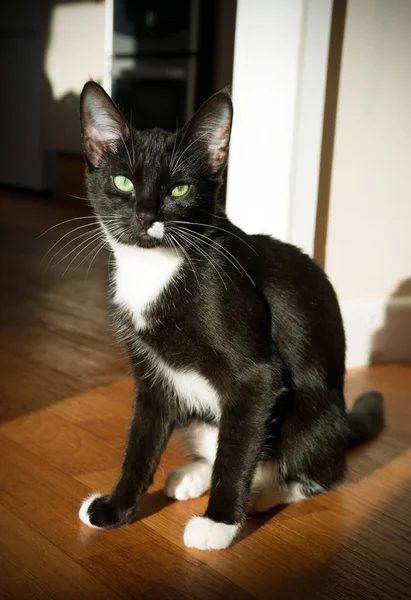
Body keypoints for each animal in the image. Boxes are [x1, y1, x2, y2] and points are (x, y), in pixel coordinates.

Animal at [79, 82, 384, 552]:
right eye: (122, 181)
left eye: (180, 190)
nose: (146, 217)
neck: (156, 270)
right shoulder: (151, 377)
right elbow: (140, 442)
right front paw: (115, 509)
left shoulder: (256, 376)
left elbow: (238, 447)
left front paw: (219, 523)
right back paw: (194, 474)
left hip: (309, 417)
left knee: (319, 469)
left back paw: (265, 491)